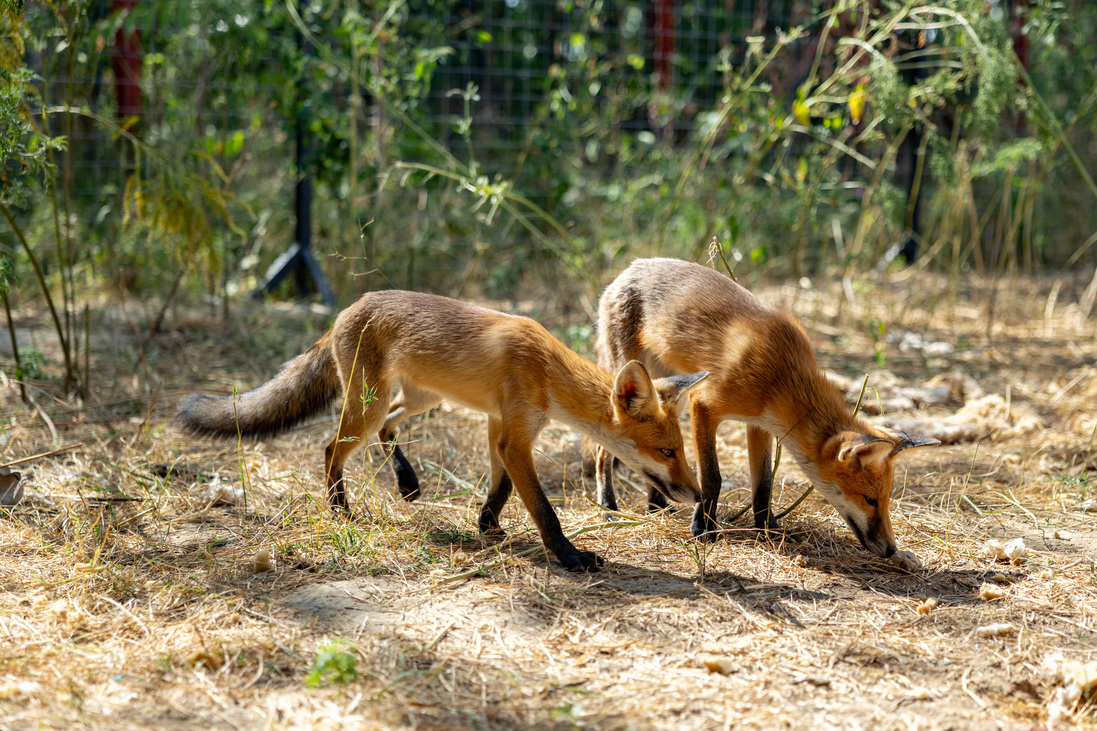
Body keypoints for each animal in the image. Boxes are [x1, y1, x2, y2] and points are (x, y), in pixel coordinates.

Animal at [177, 289, 710, 570]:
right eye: (667, 452)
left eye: (682, 450)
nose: (699, 493)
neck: (547, 369)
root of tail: (350, 307)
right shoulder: (516, 435)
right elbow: (542, 508)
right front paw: (569, 557)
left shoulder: (499, 426)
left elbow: (500, 489)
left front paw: (487, 525)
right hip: (368, 405)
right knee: (332, 447)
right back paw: (340, 508)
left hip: (420, 398)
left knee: (388, 429)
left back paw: (407, 481)